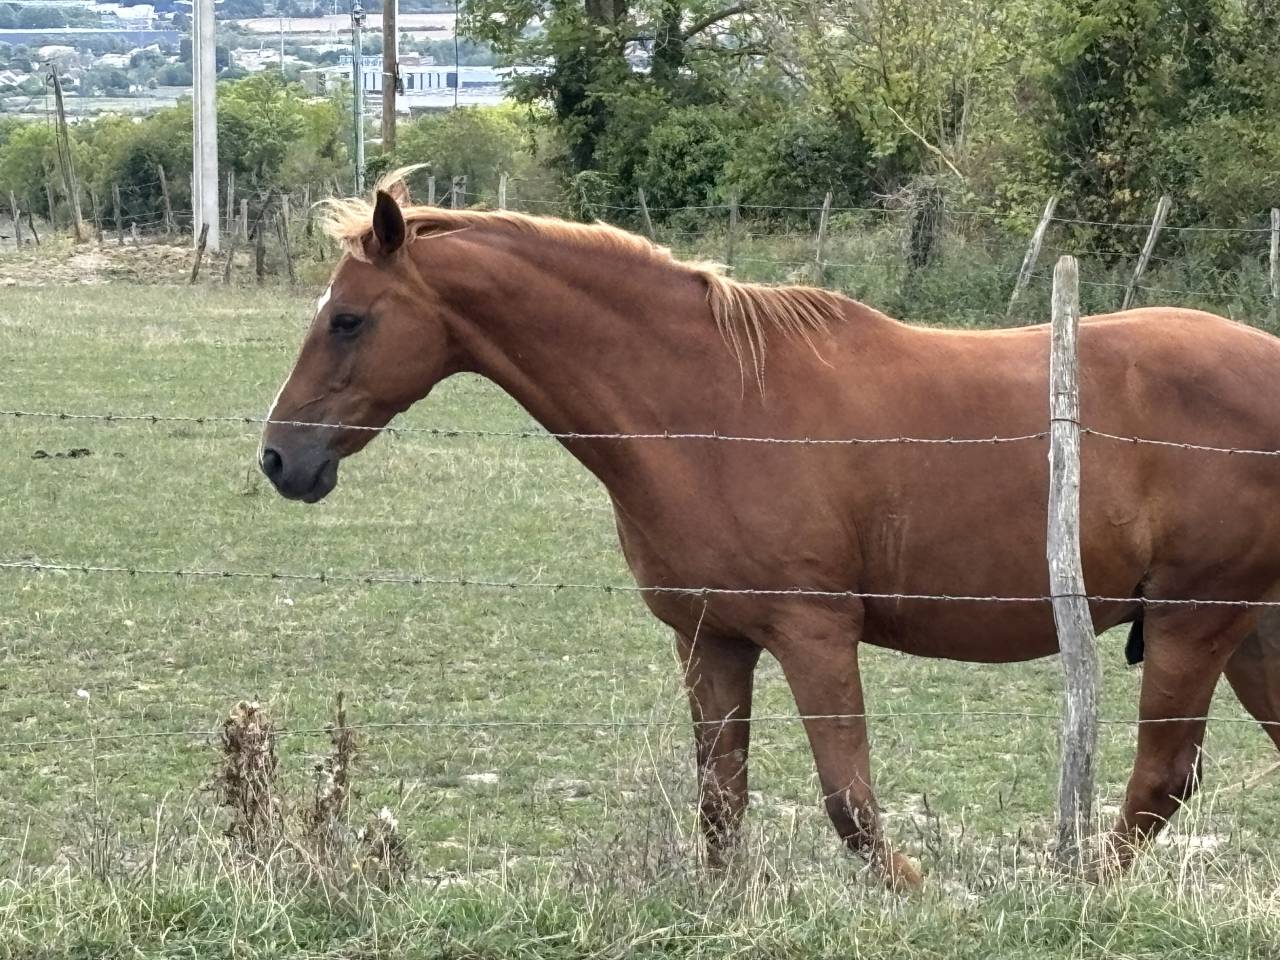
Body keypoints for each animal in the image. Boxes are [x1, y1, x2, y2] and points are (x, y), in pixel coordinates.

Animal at [259, 174, 1280, 889]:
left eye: (347, 320)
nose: (279, 458)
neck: (714, 408)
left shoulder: (813, 632)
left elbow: (849, 801)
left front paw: (916, 891)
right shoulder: (712, 639)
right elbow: (721, 800)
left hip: (1196, 624)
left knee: (1159, 780)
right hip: (1246, 634)